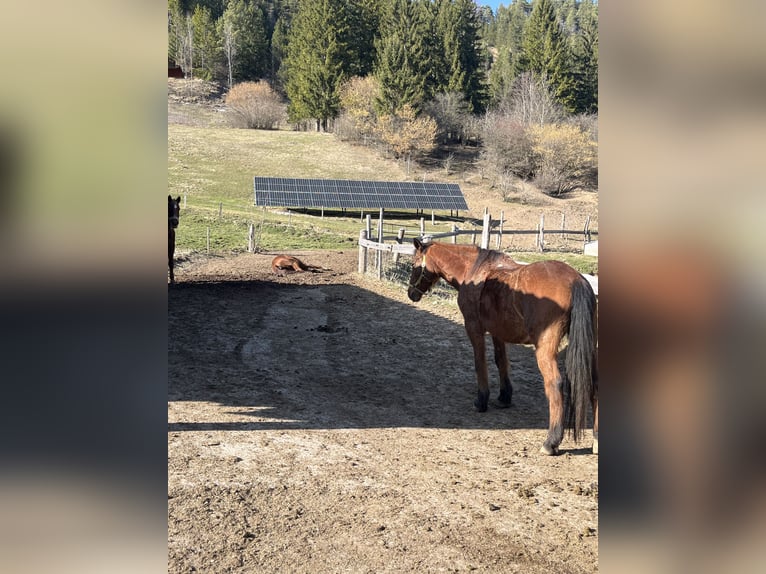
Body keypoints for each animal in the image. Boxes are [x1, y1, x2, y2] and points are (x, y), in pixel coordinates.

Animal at [407, 238, 598, 455]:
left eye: (414, 264)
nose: (411, 293)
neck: (473, 271)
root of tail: (576, 280)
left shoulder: (474, 328)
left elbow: (480, 362)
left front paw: (482, 400)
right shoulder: (498, 332)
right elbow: (501, 362)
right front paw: (504, 397)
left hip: (545, 350)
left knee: (554, 383)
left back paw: (551, 441)